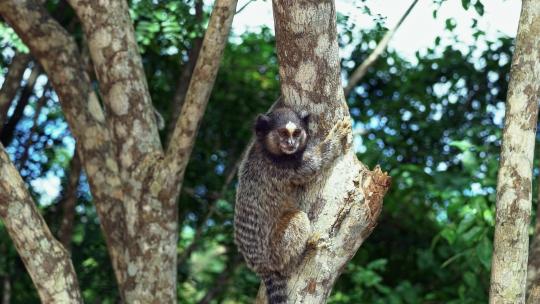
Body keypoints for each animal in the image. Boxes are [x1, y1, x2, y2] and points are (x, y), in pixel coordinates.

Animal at [234, 105, 352, 304]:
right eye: (283, 133)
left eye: (296, 133)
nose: (291, 143)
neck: (267, 150)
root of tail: (262, 266)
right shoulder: (284, 168)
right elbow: (314, 165)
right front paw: (334, 138)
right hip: (276, 250)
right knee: (298, 219)